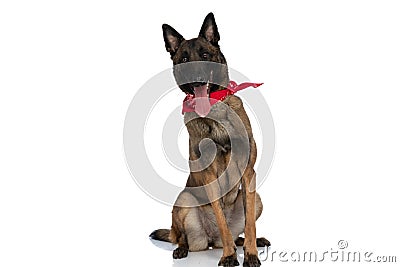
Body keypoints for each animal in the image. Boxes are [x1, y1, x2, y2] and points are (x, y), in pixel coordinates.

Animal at [152, 13, 270, 267]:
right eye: (184, 59)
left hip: (257, 198)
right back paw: (184, 249)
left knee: (240, 232)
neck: (214, 110)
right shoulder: (210, 176)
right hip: (184, 200)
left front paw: (251, 254)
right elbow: (222, 221)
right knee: (181, 237)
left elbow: (250, 225)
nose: (197, 79)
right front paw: (228, 257)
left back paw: (247, 242)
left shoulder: (248, 174)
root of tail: (210, 240)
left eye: (205, 55)